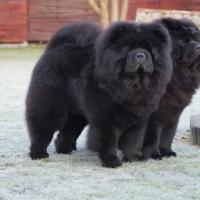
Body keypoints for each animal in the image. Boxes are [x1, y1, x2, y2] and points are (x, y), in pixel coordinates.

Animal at [25, 20, 173, 167]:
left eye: (149, 49)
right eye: (128, 49)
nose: (140, 55)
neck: (133, 84)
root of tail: (53, 49)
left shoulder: (139, 117)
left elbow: (134, 140)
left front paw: (134, 158)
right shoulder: (105, 117)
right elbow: (108, 140)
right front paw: (112, 161)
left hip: (77, 115)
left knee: (66, 132)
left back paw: (64, 150)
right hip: (50, 105)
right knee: (41, 128)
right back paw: (38, 154)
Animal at [143, 17, 200, 159]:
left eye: (195, 38)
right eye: (182, 42)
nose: (198, 46)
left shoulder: (174, 111)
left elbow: (167, 135)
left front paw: (167, 152)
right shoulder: (153, 115)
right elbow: (152, 136)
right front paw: (153, 155)